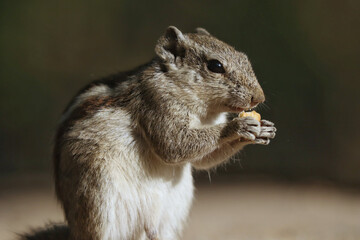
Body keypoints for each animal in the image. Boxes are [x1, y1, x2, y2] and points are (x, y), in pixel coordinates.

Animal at [21, 26, 278, 240]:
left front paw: (263, 130)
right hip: (98, 202)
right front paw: (237, 127)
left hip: (172, 213)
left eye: (244, 57)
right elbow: (174, 144)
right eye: (215, 66)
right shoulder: (156, 102)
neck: (204, 111)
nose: (259, 97)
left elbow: (204, 160)